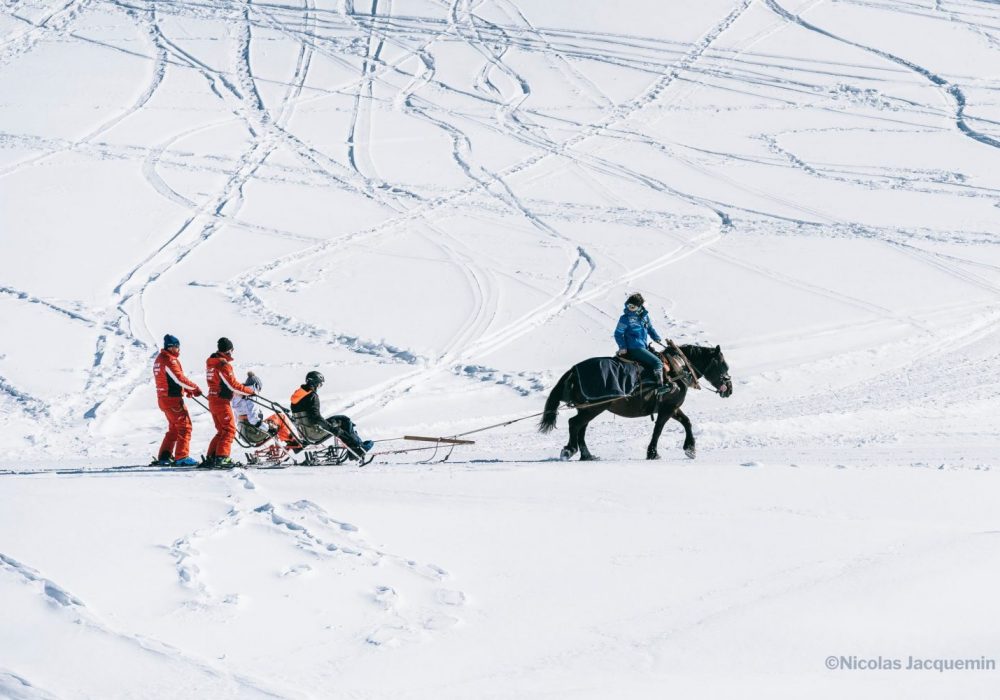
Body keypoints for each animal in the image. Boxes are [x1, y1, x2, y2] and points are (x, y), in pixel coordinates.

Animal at [540, 344, 736, 460]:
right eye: (723, 365)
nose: (729, 388)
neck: (677, 369)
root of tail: (574, 370)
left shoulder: (671, 408)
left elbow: (686, 422)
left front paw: (690, 448)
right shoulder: (667, 409)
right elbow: (658, 430)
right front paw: (653, 453)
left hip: (588, 408)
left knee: (581, 427)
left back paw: (587, 455)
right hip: (594, 408)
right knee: (574, 424)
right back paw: (569, 450)